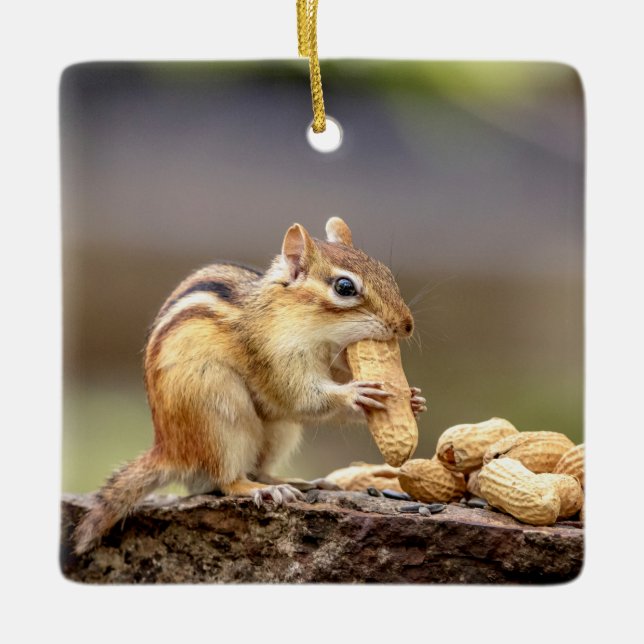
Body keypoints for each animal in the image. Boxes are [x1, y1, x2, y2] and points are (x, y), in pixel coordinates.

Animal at [73, 217, 427, 554]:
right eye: (344, 287)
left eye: (386, 273)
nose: (407, 326)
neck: (318, 335)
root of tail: (169, 450)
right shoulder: (275, 358)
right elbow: (303, 397)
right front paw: (356, 394)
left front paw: (413, 399)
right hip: (219, 414)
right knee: (228, 481)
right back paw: (263, 490)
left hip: (279, 431)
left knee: (260, 467)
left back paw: (297, 482)